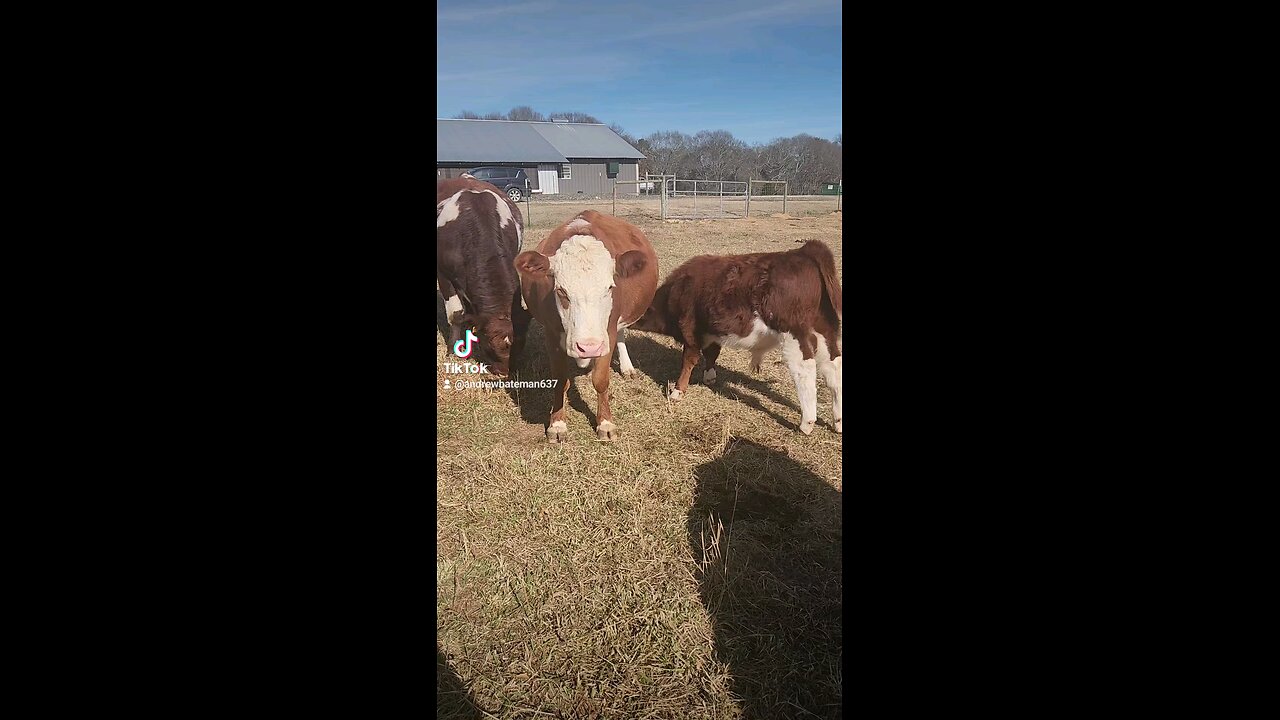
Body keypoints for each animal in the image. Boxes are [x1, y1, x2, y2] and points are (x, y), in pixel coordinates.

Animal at [432, 174, 527, 376]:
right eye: (489, 344)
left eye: (521, 344)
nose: (504, 373)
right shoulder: (443, 275)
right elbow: (456, 314)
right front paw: (453, 349)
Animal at [514, 210, 660, 440]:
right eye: (561, 291)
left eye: (609, 288)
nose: (588, 347)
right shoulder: (552, 334)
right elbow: (560, 380)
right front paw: (557, 424)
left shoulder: (607, 332)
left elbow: (600, 380)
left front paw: (605, 423)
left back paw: (626, 367)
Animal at [627, 239, 839, 430]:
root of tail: (803, 251)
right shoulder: (711, 331)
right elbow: (712, 353)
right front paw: (709, 377)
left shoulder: (690, 330)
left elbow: (689, 360)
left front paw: (677, 391)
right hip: (825, 330)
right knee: (833, 364)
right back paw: (838, 422)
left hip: (793, 332)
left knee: (805, 369)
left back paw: (806, 423)